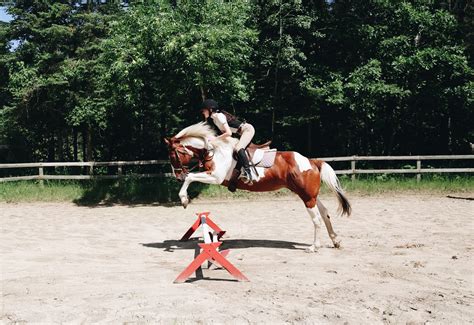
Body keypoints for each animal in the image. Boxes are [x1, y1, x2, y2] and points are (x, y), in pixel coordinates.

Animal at [164, 121, 352, 251]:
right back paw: (335, 241)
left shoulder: (216, 177)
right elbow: (191, 177)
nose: (177, 177)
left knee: (317, 219)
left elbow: (190, 177)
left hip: (307, 197)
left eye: (173, 156)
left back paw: (314, 247)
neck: (213, 151)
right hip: (310, 195)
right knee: (325, 213)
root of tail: (312, 161)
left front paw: (184, 199)